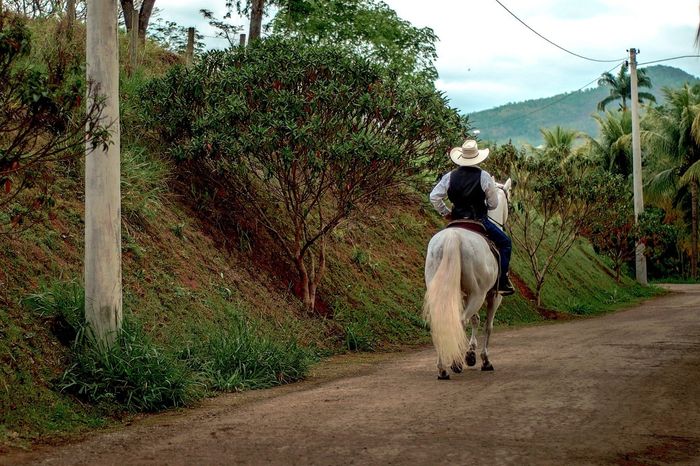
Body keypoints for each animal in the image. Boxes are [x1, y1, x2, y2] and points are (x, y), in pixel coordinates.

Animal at [422, 177, 516, 378]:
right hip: (479, 295)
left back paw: (442, 368)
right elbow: (488, 325)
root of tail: (452, 237)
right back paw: (456, 363)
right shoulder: (494, 296)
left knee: (442, 323)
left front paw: (470, 354)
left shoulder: (464, 294)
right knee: (460, 320)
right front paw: (483, 360)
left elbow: (476, 320)